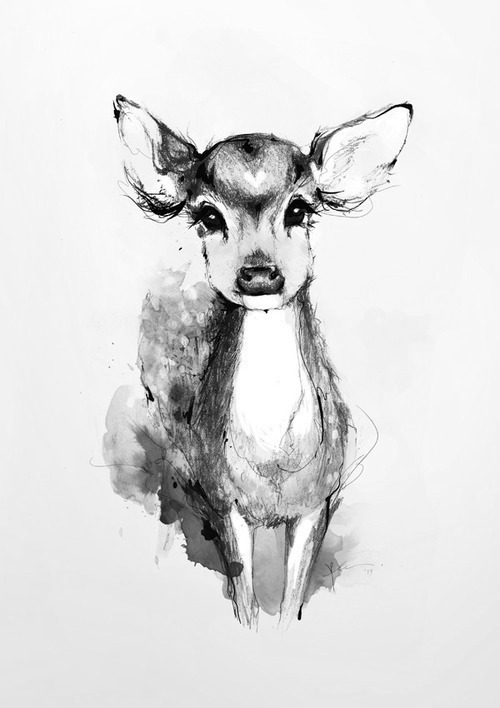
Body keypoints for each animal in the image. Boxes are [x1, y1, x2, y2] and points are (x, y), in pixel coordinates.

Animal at [105, 95, 412, 628]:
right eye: (208, 215)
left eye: (299, 207)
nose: (260, 274)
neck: (272, 462)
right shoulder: (223, 500)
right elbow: (245, 601)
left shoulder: (317, 500)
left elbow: (291, 602)